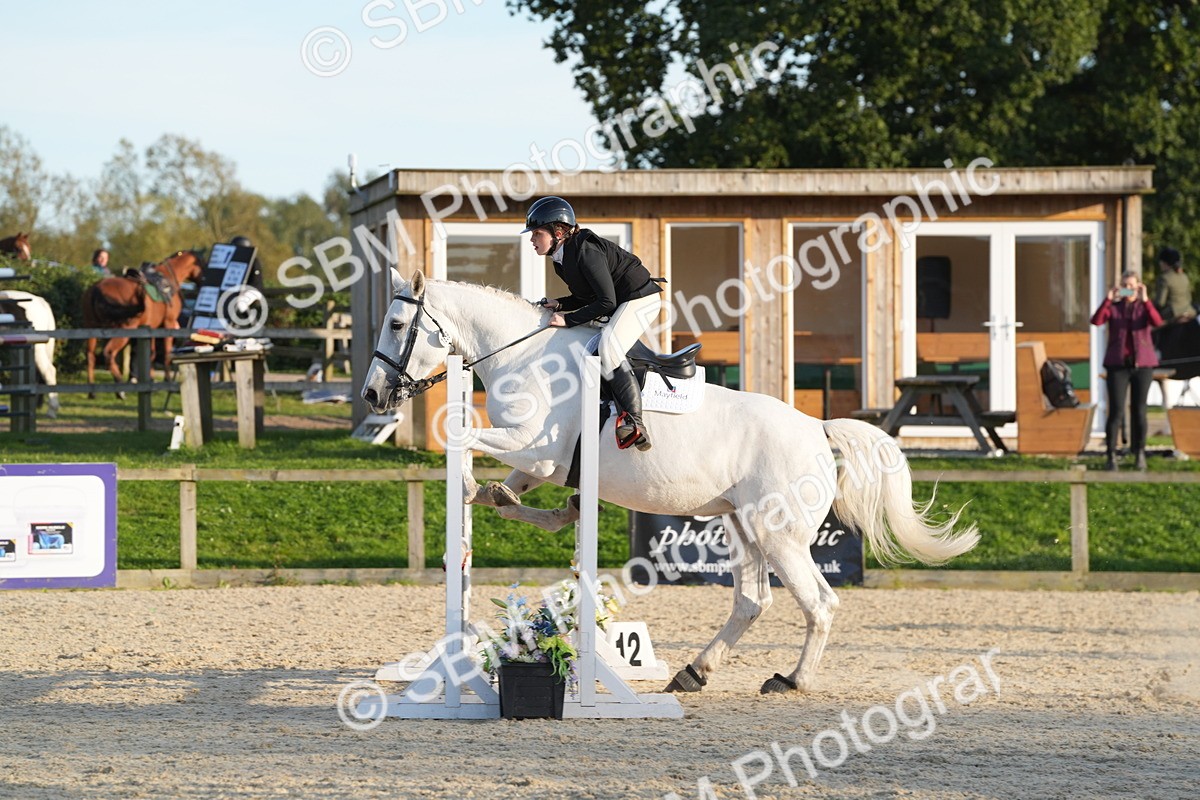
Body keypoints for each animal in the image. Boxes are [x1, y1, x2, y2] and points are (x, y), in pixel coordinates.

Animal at [81, 250, 204, 397]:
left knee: (90, 356)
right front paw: (167, 381)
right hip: (123, 332)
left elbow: (151, 354)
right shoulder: (167, 324)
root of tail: (96, 289)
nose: (204, 281)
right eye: (203, 263)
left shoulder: (151, 328)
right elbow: (166, 354)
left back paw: (92, 391)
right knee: (109, 353)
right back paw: (120, 388)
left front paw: (151, 379)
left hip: (91, 329)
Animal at [361, 272, 979, 696]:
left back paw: (790, 680)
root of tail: (816, 427)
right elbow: (512, 497)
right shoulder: (542, 462)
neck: (523, 355)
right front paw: (532, 505)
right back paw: (693, 672)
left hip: (779, 535)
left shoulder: (536, 446)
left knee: (819, 603)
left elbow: (465, 440)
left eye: (397, 325)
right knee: (751, 601)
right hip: (741, 526)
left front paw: (475, 486)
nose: (371, 395)